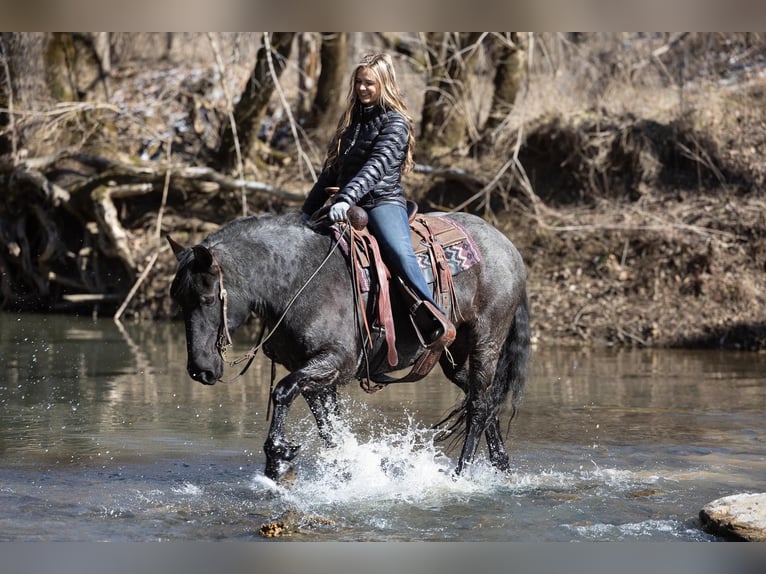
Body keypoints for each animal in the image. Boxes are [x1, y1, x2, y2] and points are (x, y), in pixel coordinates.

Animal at [169, 209, 532, 484]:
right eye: (179, 300)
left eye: (206, 299)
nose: (200, 370)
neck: (299, 280)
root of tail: (507, 246)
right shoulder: (315, 376)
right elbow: (330, 429)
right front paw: (346, 472)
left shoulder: (335, 362)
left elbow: (282, 392)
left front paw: (278, 458)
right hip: (454, 356)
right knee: (481, 399)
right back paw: (501, 467)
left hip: (487, 339)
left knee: (479, 406)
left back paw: (460, 475)